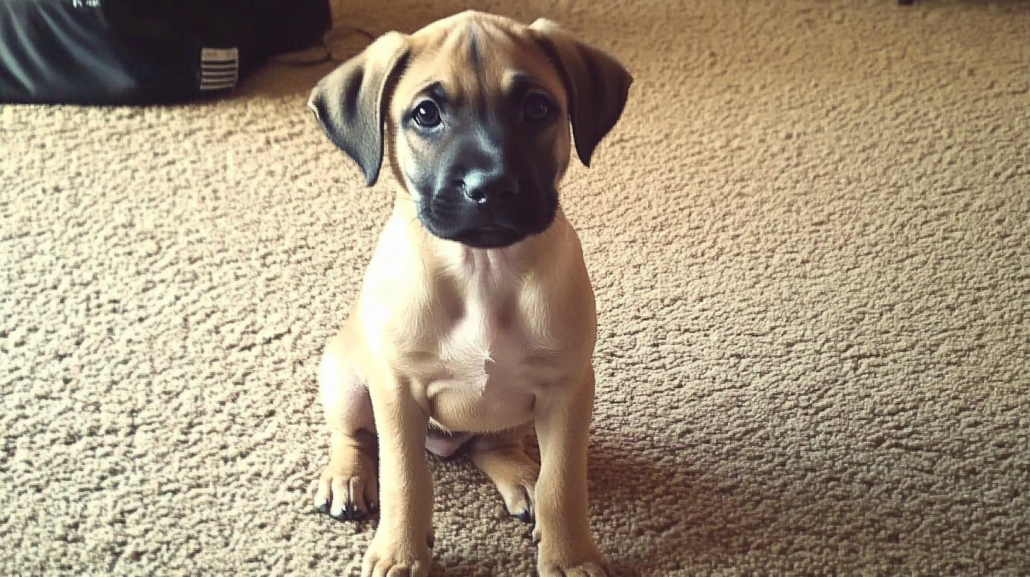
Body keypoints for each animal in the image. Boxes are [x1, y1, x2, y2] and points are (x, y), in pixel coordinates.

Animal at [304, 10, 630, 577]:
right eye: (426, 114)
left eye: (537, 107)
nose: (490, 186)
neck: (483, 272)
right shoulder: (397, 392)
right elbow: (405, 480)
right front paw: (401, 555)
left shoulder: (568, 391)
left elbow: (564, 483)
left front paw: (570, 557)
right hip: (347, 378)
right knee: (355, 434)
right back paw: (346, 476)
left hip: (514, 411)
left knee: (492, 447)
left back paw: (521, 477)